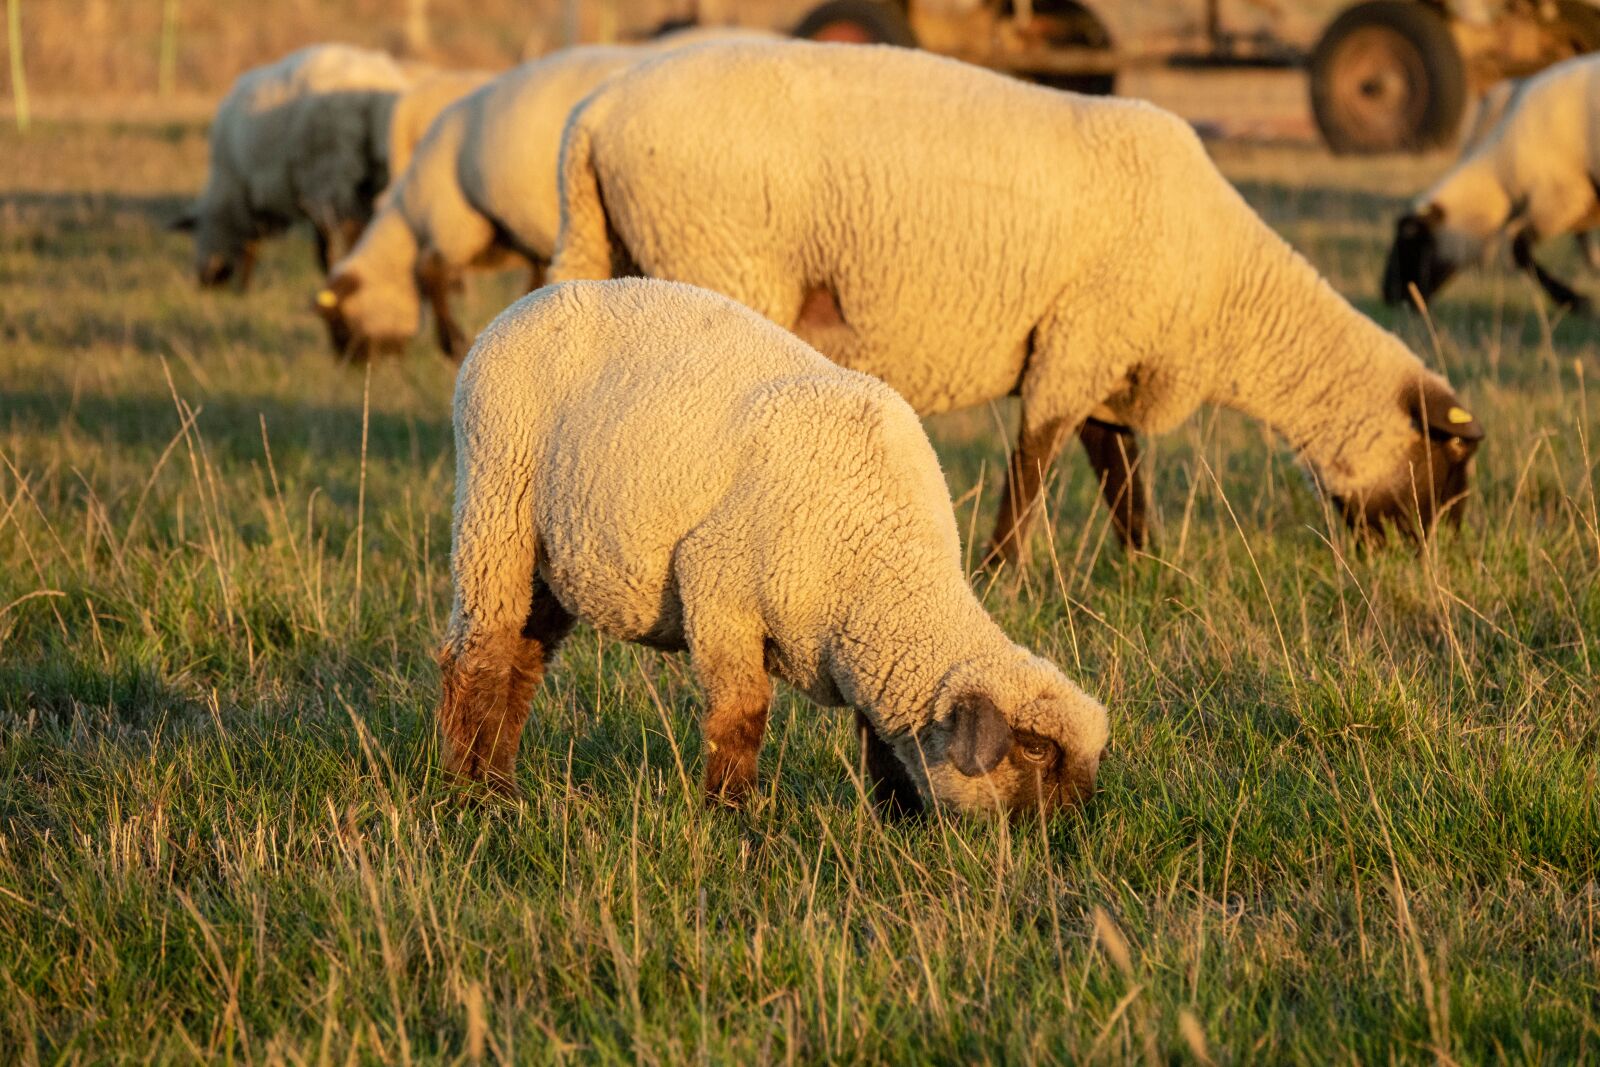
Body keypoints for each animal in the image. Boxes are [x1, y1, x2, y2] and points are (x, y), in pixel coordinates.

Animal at [172, 44, 413, 289]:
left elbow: (254, 244)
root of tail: (373, 91)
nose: (205, 280)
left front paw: (243, 286)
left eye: (197, 231)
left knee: (348, 228)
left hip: (330, 170)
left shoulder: (250, 190)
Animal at [316, 29, 775, 361]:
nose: (352, 366)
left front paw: (454, 344)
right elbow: (532, 285)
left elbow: (432, 272)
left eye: (340, 322)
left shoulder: (457, 217)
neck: (410, 214)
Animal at [438, 278, 1109, 814]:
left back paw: (499, 784)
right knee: (477, 653)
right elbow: (742, 715)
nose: (1068, 830)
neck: (884, 564)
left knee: (522, 661)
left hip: (552, 557)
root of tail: (525, 304)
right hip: (497, 505)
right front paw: (733, 815)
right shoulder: (719, 589)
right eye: (1035, 748)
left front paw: (898, 821)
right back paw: (469, 792)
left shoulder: (857, 642)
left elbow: (878, 741)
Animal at [547, 40, 1486, 563]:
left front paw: (1147, 569)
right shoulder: (1082, 339)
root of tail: (595, 112)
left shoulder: (1106, 349)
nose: (1434, 562)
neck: (1230, 297)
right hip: (717, 253)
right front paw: (1005, 570)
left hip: (611, 251)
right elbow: (1034, 462)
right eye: (1453, 467)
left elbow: (1119, 473)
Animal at [1384, 53, 1600, 312]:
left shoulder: (1561, 196)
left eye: (1411, 241)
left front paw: (1576, 301)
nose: (1388, 295)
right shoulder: (1579, 202)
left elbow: (1519, 249)